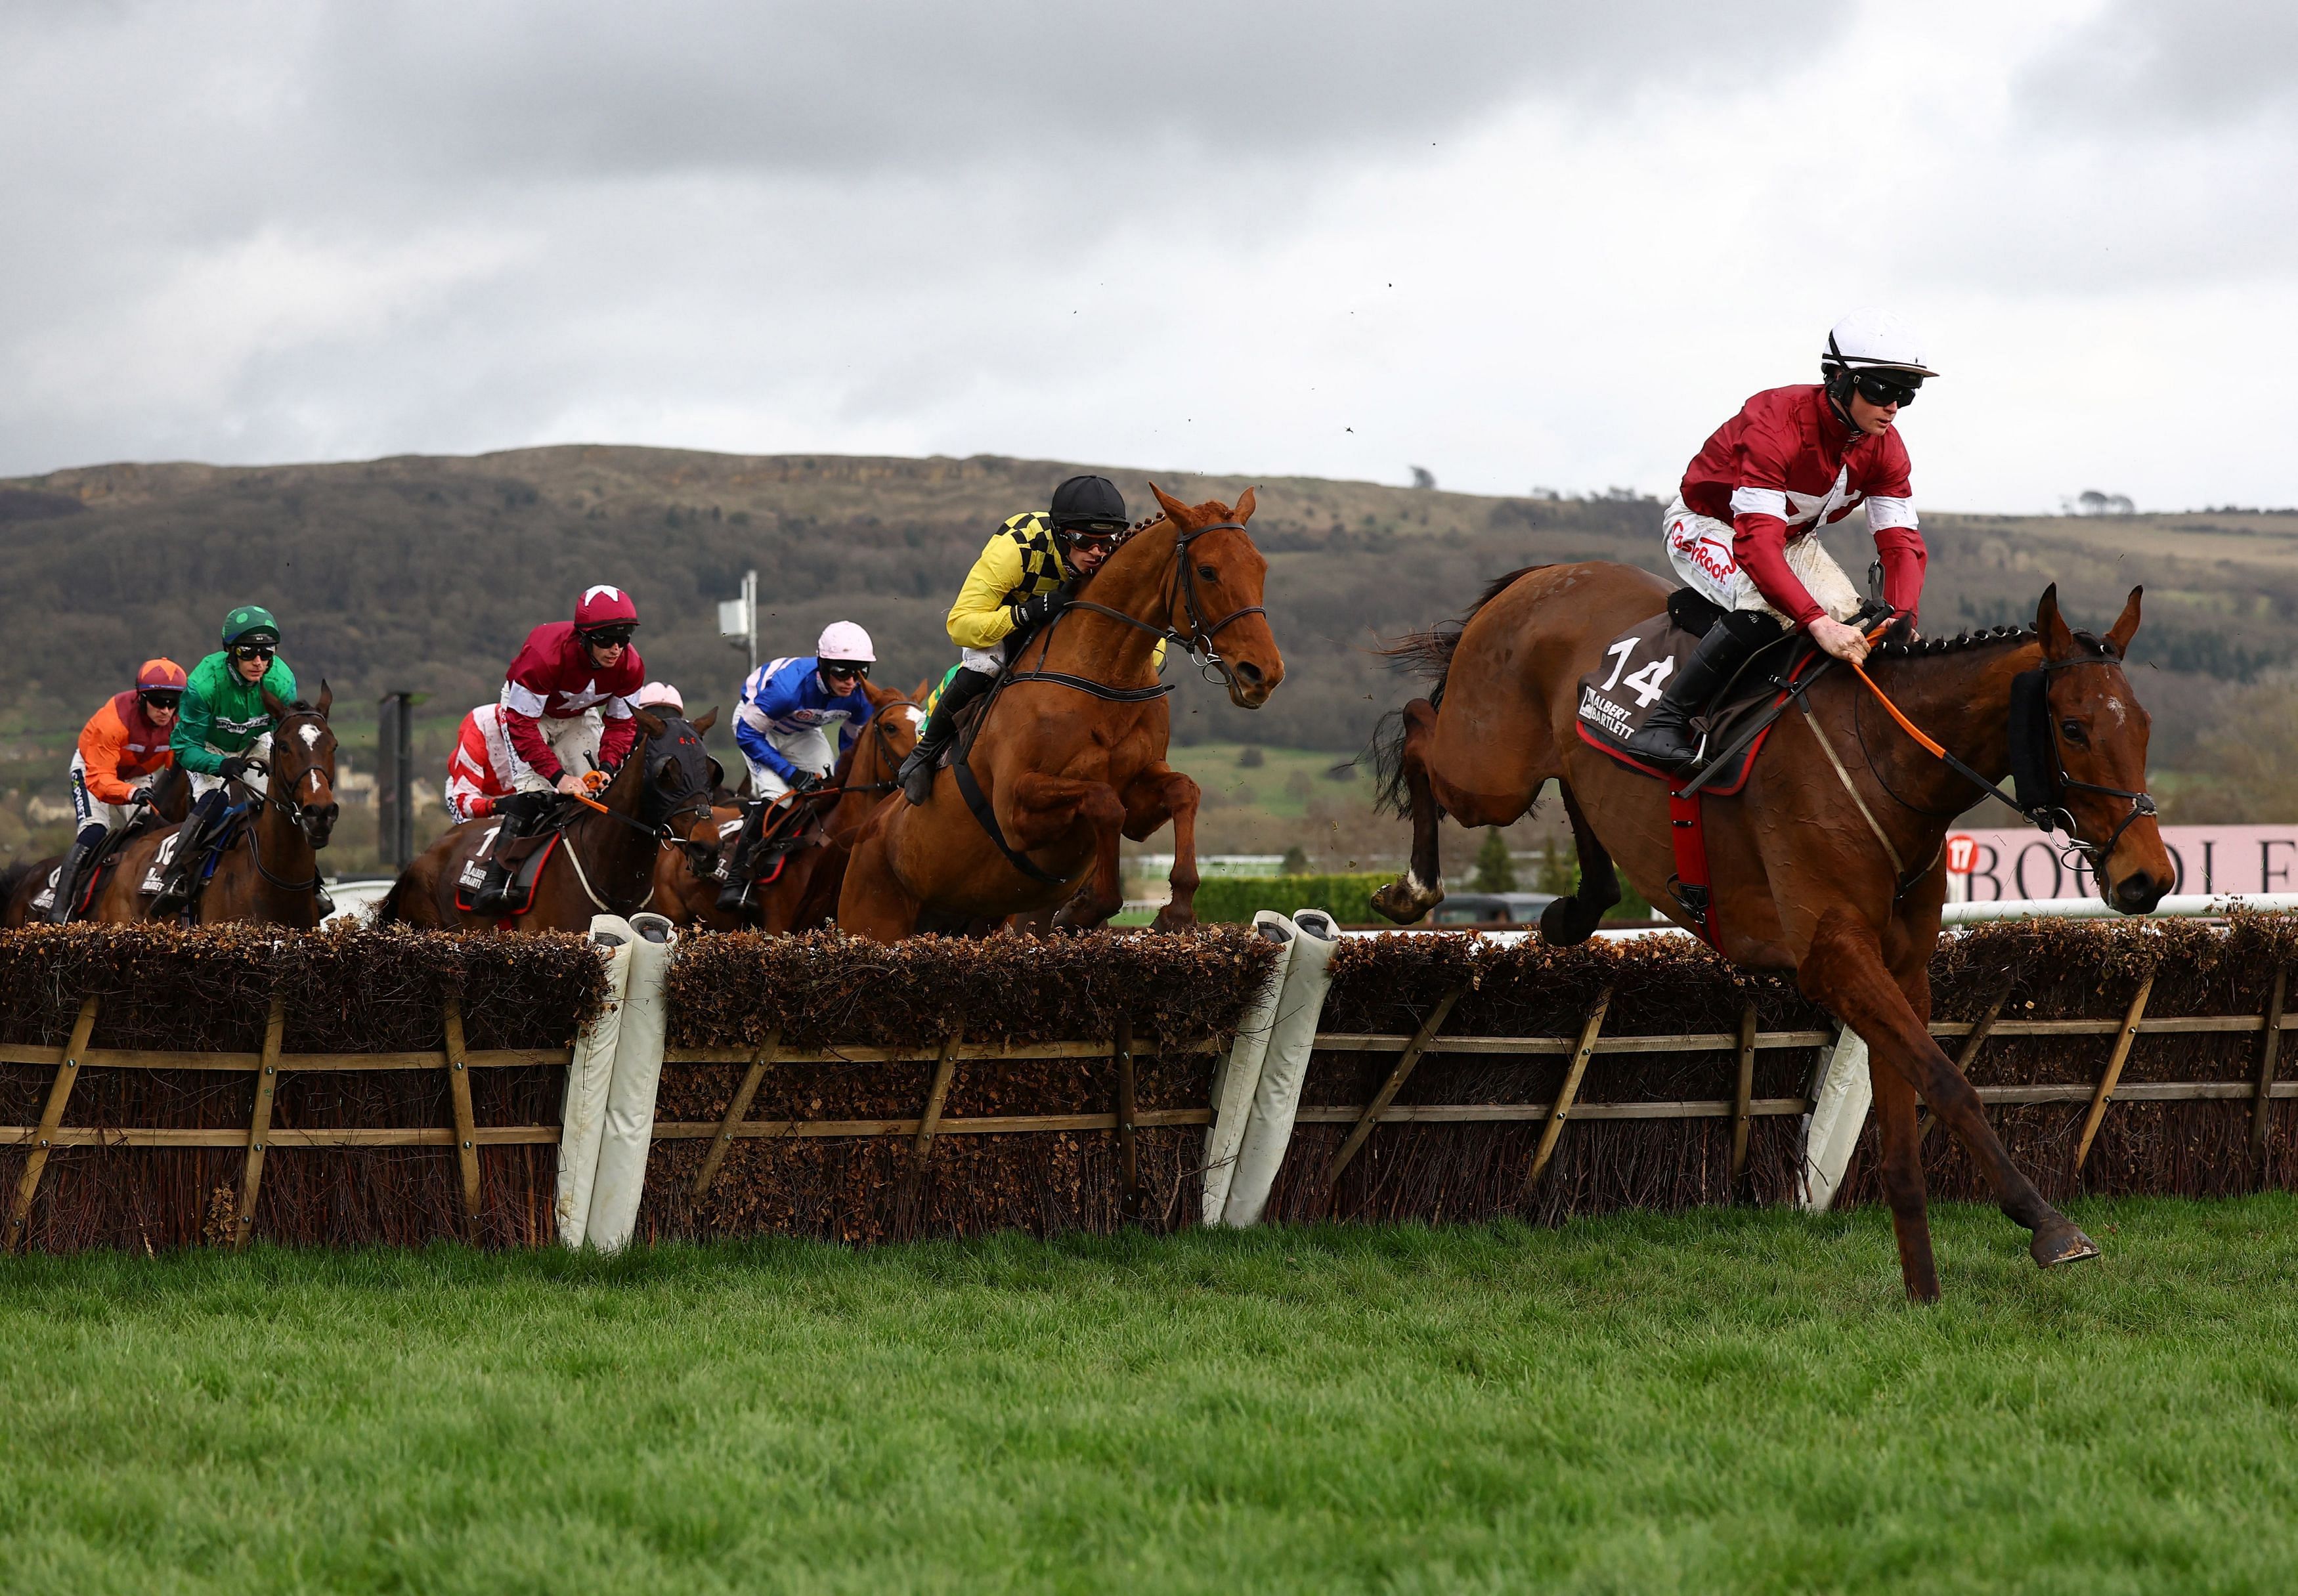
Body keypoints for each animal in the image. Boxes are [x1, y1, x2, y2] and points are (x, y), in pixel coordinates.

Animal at [841, 485, 1287, 937]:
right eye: (1208, 572)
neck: (1105, 678)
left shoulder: (1140, 803)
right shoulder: (1015, 811)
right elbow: (1104, 801)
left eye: (1261, 569)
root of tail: (867, 831)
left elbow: (1183, 791)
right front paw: (1087, 906)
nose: (1263, 674)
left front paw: (1176, 909)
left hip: (976, 920)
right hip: (873, 917)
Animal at [1360, 567, 2169, 1304]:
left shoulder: (1900, 969)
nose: (2148, 878)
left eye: (2143, 725)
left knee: (1568, 792)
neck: (1882, 761)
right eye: (2072, 728)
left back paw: (1577, 906)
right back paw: (1412, 887)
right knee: (1417, 725)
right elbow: (1948, 1082)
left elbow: (1905, 1132)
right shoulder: (1833, 957)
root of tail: (1538, 576)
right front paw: (2048, 1225)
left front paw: (1922, 1294)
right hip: (1488, 775)